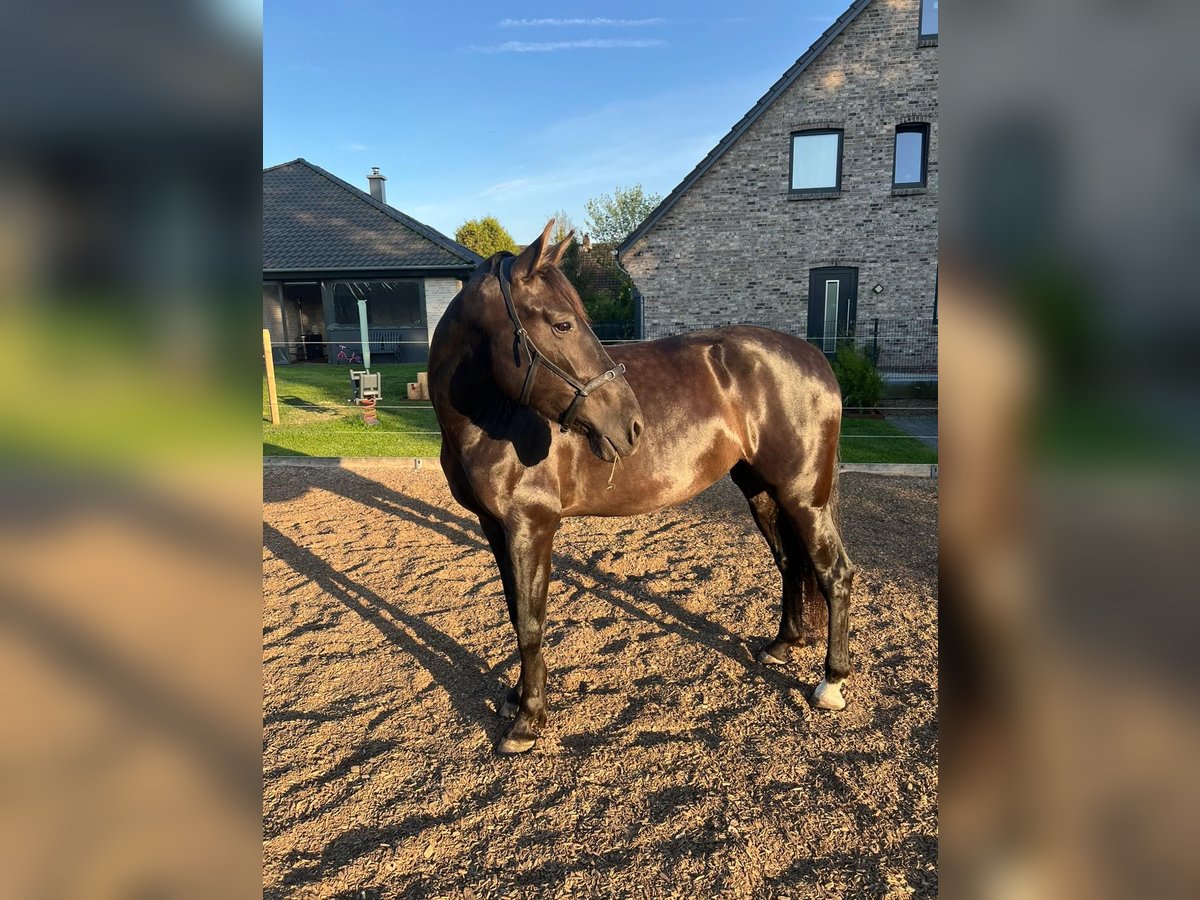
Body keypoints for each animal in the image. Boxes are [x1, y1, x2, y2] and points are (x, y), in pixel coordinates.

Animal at [429, 219, 854, 754]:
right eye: (563, 324)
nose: (631, 426)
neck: (492, 417)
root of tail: (816, 358)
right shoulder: (494, 527)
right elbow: (514, 611)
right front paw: (515, 698)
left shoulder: (532, 527)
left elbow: (531, 621)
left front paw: (528, 720)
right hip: (763, 492)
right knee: (790, 564)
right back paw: (782, 645)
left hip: (803, 497)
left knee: (835, 574)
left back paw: (831, 683)